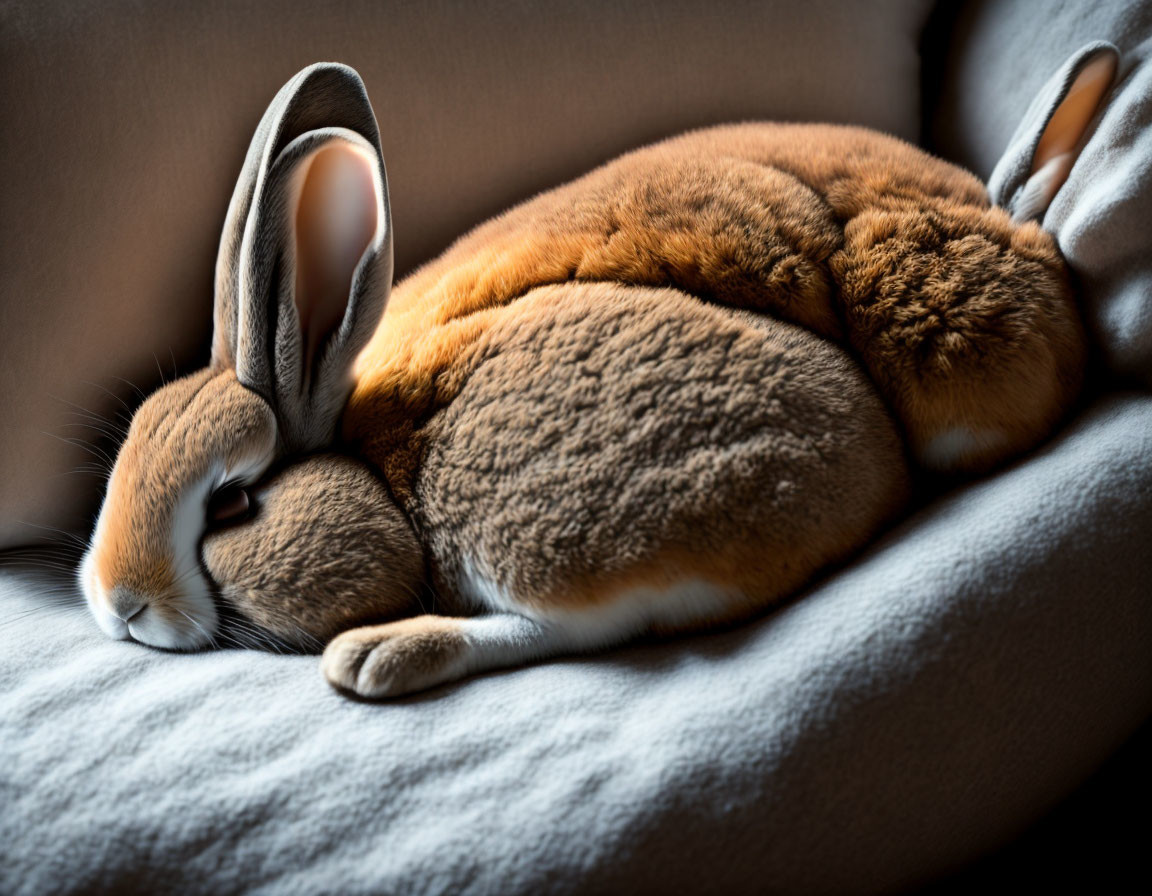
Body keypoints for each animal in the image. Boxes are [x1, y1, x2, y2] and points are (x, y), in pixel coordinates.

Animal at [78, 42, 1115, 695]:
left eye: (231, 504)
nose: (120, 605)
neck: (365, 446)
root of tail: (1008, 220)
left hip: (539, 506)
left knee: (560, 624)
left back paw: (378, 656)